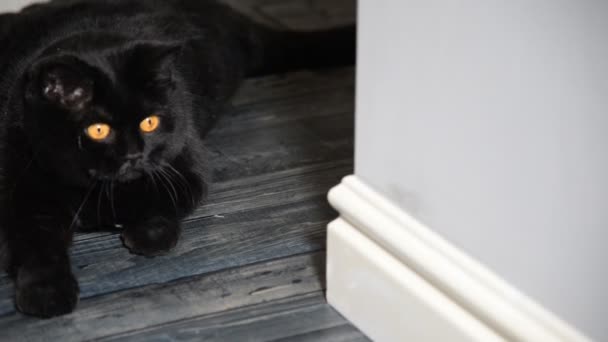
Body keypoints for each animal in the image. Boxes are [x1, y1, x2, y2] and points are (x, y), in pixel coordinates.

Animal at [0, 0, 354, 318]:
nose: (134, 153)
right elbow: (37, 244)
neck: (93, 189)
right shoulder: (24, 191)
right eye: (98, 130)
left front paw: (147, 234)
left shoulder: (184, 165)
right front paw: (45, 293)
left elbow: (161, 202)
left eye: (150, 122)